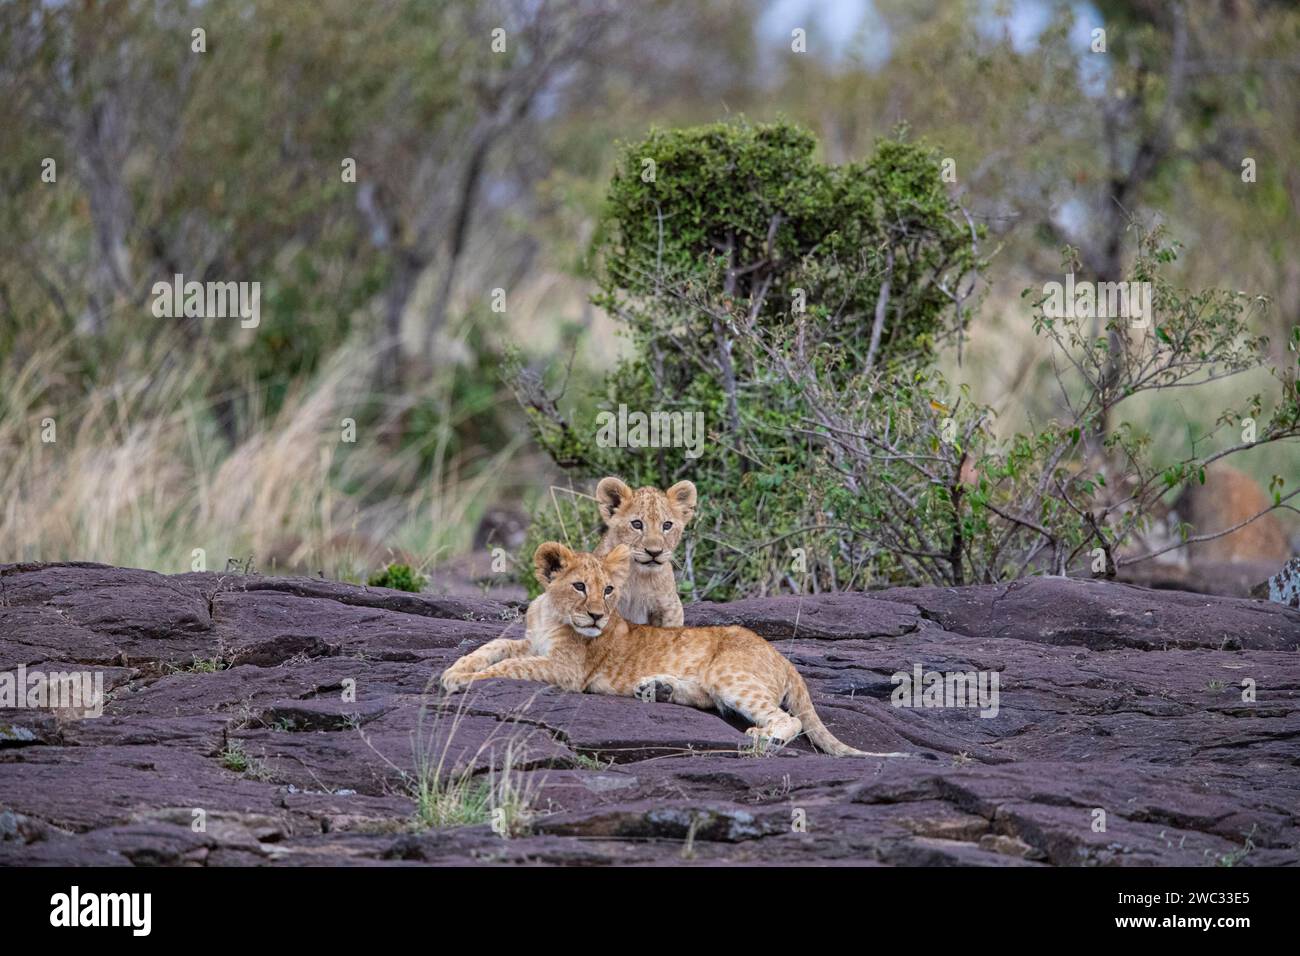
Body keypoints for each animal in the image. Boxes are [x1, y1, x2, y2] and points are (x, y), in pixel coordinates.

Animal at [439, 541, 907, 758]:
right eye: (579, 586)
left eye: (608, 590)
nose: (597, 617)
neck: (553, 614)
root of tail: (784, 659)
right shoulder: (528, 640)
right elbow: (496, 646)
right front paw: (455, 668)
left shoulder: (566, 671)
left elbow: (513, 667)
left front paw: (462, 681)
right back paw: (657, 689)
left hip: (730, 674)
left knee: (786, 720)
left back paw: (762, 738)